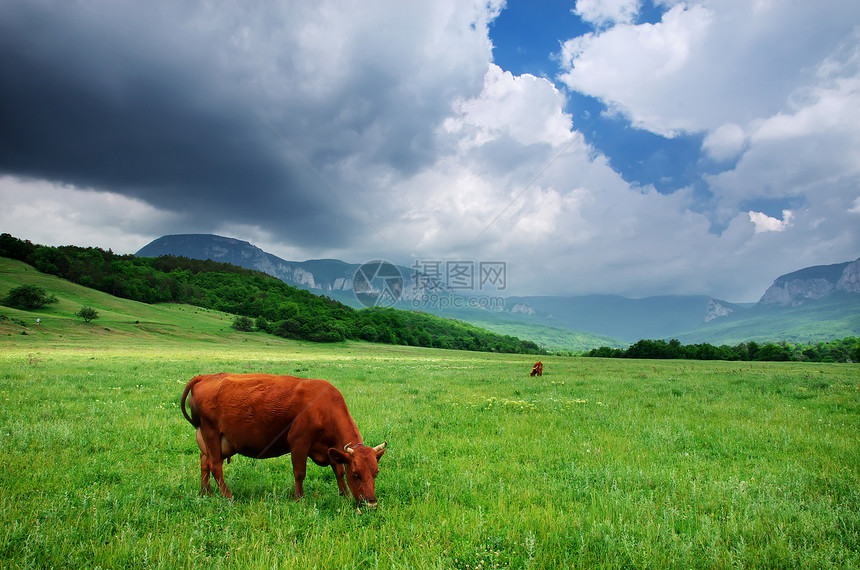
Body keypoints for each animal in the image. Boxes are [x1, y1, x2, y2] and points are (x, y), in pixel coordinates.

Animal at [181, 372, 386, 506]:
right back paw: (228, 497)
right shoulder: (299, 442)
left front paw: (345, 495)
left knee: (205, 462)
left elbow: (338, 471)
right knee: (215, 466)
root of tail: (206, 376)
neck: (325, 406)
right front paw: (299, 499)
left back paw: (206, 493)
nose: (371, 503)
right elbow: (300, 472)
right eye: (356, 473)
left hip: (212, 440)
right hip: (211, 433)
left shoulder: (332, 448)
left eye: (376, 472)